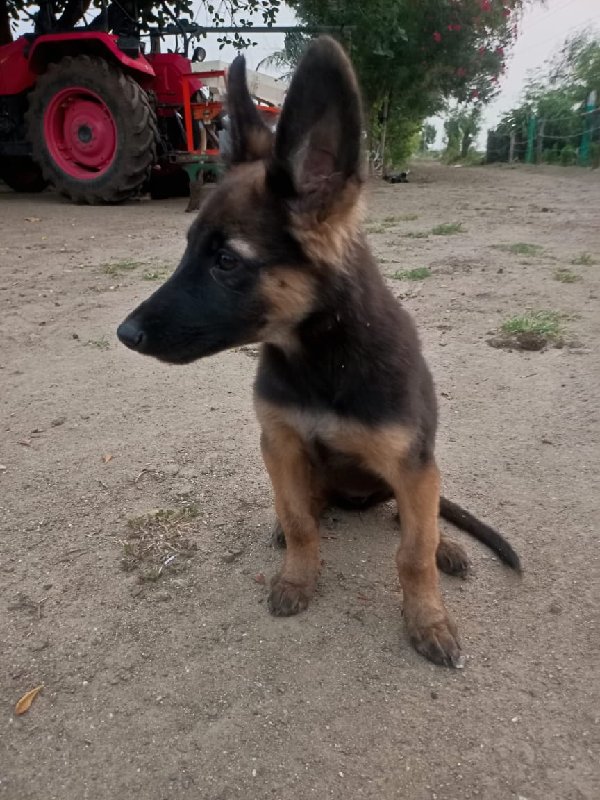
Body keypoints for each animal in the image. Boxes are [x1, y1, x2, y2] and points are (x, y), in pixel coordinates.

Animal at [117, 37, 520, 668]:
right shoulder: (279, 445)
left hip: (419, 474)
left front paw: (427, 618)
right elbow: (302, 522)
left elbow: (413, 553)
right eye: (188, 250)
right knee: (308, 508)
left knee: (422, 521)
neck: (322, 359)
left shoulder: (412, 465)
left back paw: (447, 548)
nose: (125, 333)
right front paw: (297, 576)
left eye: (226, 261)